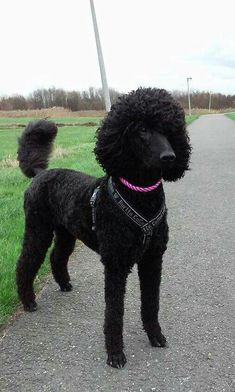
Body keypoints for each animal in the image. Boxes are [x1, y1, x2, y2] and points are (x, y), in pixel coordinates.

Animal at [15, 88, 191, 368]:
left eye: (170, 129)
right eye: (142, 129)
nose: (169, 157)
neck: (140, 197)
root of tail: (41, 172)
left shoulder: (153, 259)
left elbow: (151, 303)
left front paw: (155, 336)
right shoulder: (116, 264)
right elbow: (114, 312)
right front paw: (115, 354)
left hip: (66, 232)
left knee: (57, 257)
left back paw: (64, 284)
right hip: (37, 229)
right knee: (26, 262)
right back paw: (29, 301)